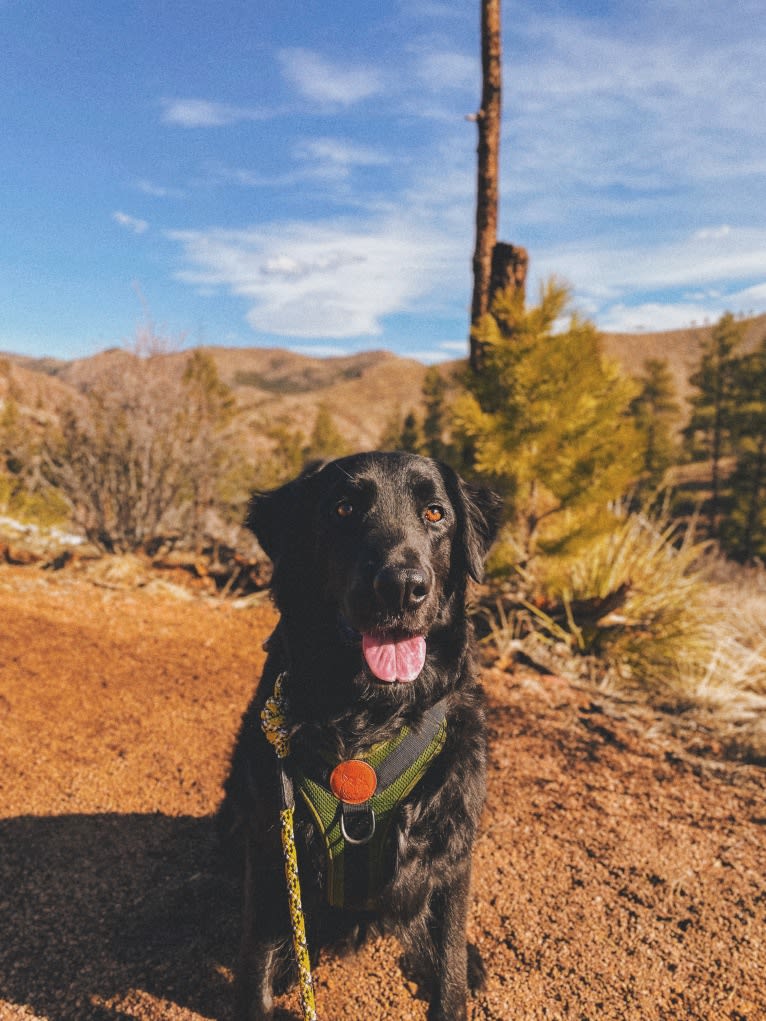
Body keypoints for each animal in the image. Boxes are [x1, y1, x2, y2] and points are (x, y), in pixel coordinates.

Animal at [218, 453, 500, 1021]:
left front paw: (456, 971)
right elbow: (255, 962)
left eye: (435, 513)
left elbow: (449, 970)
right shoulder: (272, 847)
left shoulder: (453, 848)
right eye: (343, 509)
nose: (403, 586)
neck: (369, 718)